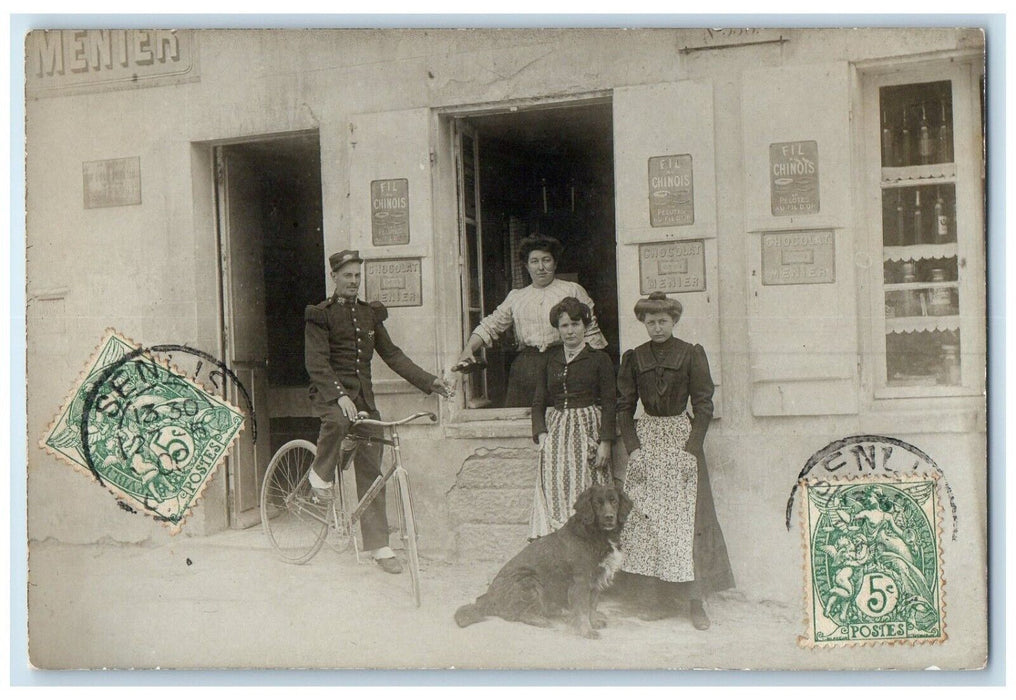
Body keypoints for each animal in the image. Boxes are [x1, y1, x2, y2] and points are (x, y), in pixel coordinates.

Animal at [455, 483, 629, 638]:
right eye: (597, 503)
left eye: (614, 501)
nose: (609, 517)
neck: (596, 533)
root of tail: (489, 596)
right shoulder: (581, 581)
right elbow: (582, 610)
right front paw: (586, 631)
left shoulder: (596, 579)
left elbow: (592, 605)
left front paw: (593, 622)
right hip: (529, 580)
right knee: (512, 613)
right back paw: (539, 619)